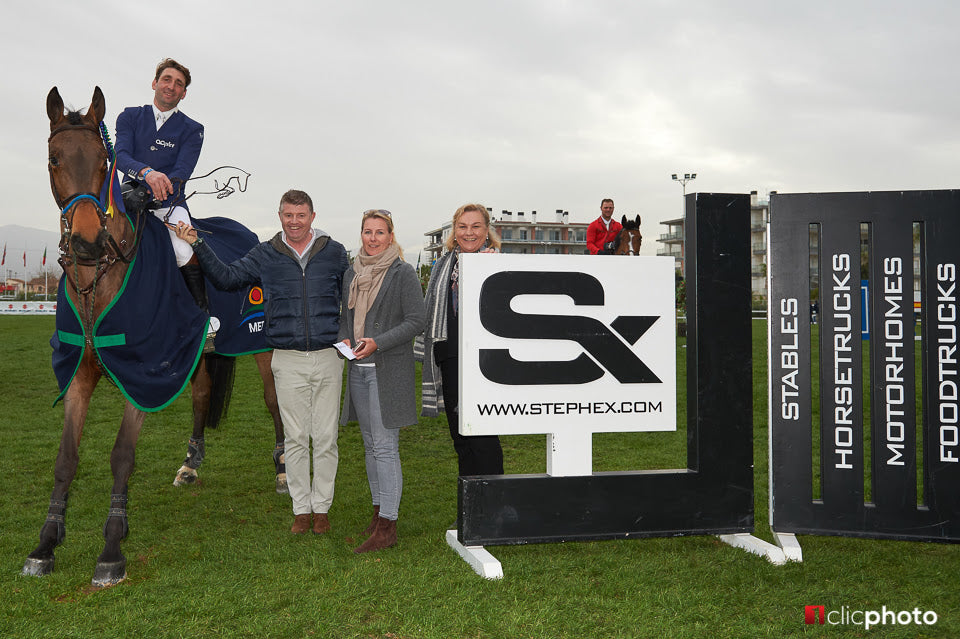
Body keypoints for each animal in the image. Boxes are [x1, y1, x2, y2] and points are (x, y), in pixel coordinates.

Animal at [21, 87, 282, 588]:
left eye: (104, 161)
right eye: (53, 159)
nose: (86, 242)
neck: (101, 277)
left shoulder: (143, 375)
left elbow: (123, 456)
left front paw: (111, 550)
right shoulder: (82, 373)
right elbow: (66, 458)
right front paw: (45, 545)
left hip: (262, 346)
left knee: (275, 400)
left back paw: (283, 468)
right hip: (195, 353)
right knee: (201, 393)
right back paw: (191, 464)